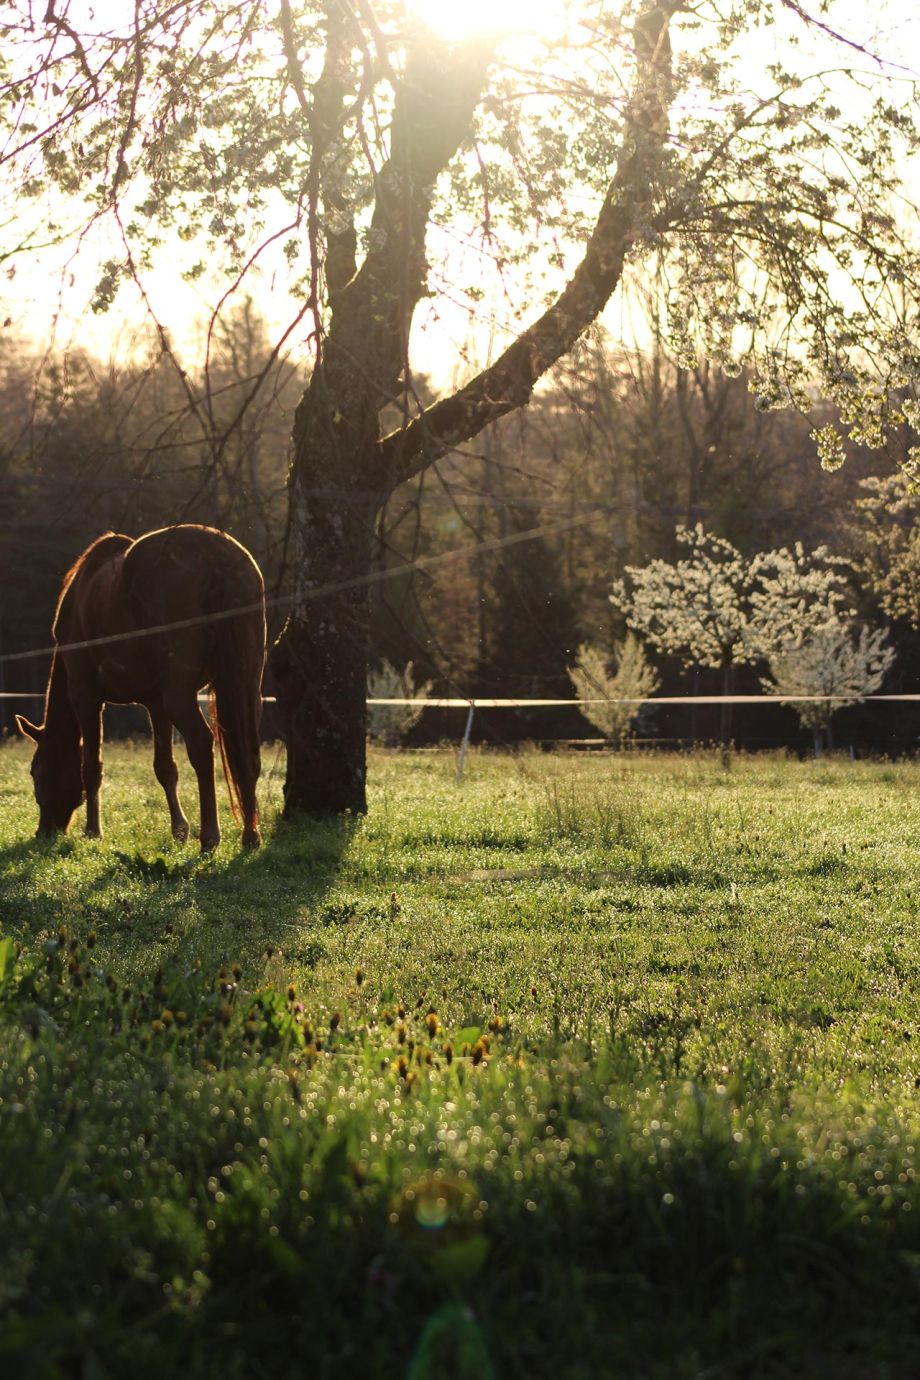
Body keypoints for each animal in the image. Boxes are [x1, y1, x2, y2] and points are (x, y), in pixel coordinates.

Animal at [16, 527, 266, 850]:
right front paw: (179, 830)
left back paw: (210, 836)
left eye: (35, 771)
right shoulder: (155, 703)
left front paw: (93, 830)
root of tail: (215, 557)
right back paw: (251, 835)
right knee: (248, 754)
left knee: (201, 744)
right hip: (246, 685)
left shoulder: (86, 696)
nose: (44, 831)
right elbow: (165, 767)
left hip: (179, 695)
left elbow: (91, 767)